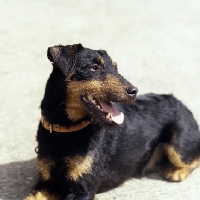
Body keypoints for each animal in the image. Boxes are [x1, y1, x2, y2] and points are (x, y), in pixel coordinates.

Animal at [24, 44, 200, 200]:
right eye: (94, 67)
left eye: (116, 68)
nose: (134, 91)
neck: (67, 131)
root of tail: (179, 101)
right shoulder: (47, 184)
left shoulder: (83, 188)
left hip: (179, 145)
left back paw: (177, 172)